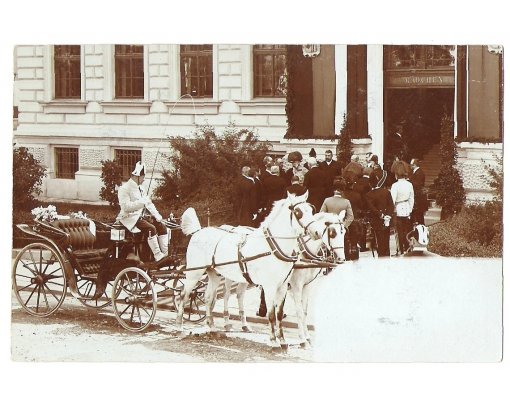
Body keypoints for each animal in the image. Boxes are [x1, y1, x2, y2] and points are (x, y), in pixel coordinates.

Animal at [176, 192, 322, 349]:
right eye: (298, 212)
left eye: (311, 210)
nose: (317, 232)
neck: (271, 247)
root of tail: (198, 232)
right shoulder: (270, 286)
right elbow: (271, 314)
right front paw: (273, 341)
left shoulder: (282, 286)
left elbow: (279, 313)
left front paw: (282, 340)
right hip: (194, 273)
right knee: (184, 296)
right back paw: (180, 326)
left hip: (213, 274)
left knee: (208, 298)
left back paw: (212, 328)